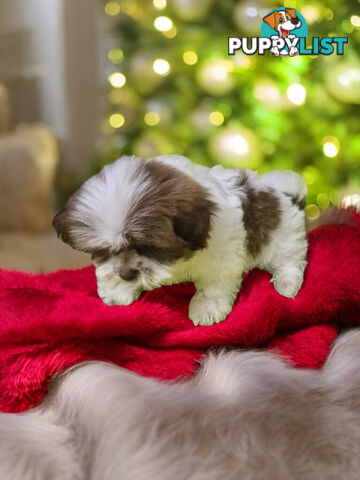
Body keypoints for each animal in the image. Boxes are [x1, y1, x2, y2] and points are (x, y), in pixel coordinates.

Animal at [52, 155, 308, 326]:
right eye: (103, 250)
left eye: (147, 247)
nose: (127, 274)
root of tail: (287, 194)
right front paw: (118, 289)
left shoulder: (223, 256)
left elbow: (214, 284)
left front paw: (207, 307)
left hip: (283, 240)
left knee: (291, 262)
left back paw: (286, 283)